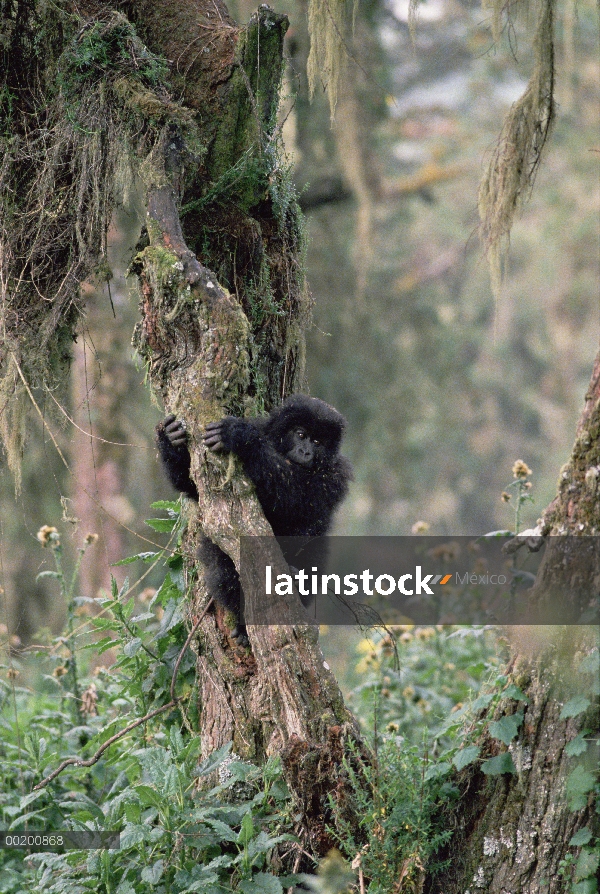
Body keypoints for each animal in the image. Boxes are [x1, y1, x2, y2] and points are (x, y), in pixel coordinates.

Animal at [156, 394, 352, 644]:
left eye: (317, 442)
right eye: (300, 434)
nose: (306, 452)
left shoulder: (337, 474)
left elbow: (299, 499)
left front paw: (241, 437)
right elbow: (193, 488)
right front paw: (170, 438)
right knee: (223, 568)